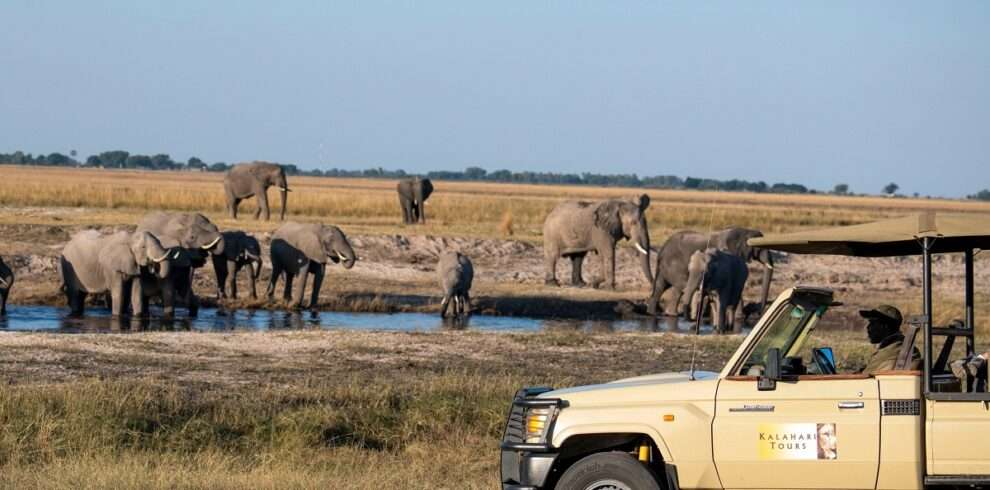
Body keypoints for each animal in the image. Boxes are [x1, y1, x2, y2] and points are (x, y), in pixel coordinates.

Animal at [648, 227, 780, 316]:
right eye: (760, 247)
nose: (758, 313)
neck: (745, 230)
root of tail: (662, 249)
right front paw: (739, 317)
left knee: (661, 286)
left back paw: (655, 313)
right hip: (675, 265)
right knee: (681, 288)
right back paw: (671, 314)